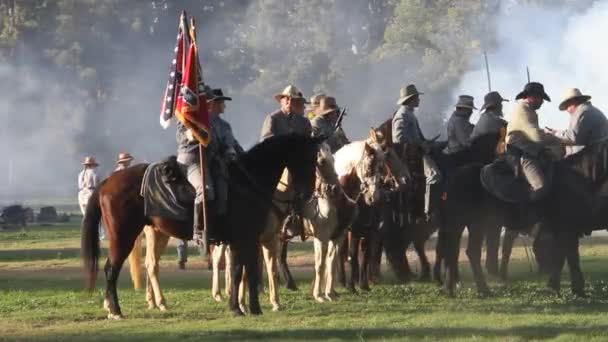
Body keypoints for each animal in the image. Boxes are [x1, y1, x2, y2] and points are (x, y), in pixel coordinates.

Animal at [82, 134, 324, 318]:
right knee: (111, 269)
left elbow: (240, 271)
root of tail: (107, 182)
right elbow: (245, 271)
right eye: (309, 159)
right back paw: (115, 310)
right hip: (123, 236)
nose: (308, 194)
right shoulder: (247, 239)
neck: (248, 183)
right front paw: (245, 308)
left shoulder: (244, 241)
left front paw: (242, 307)